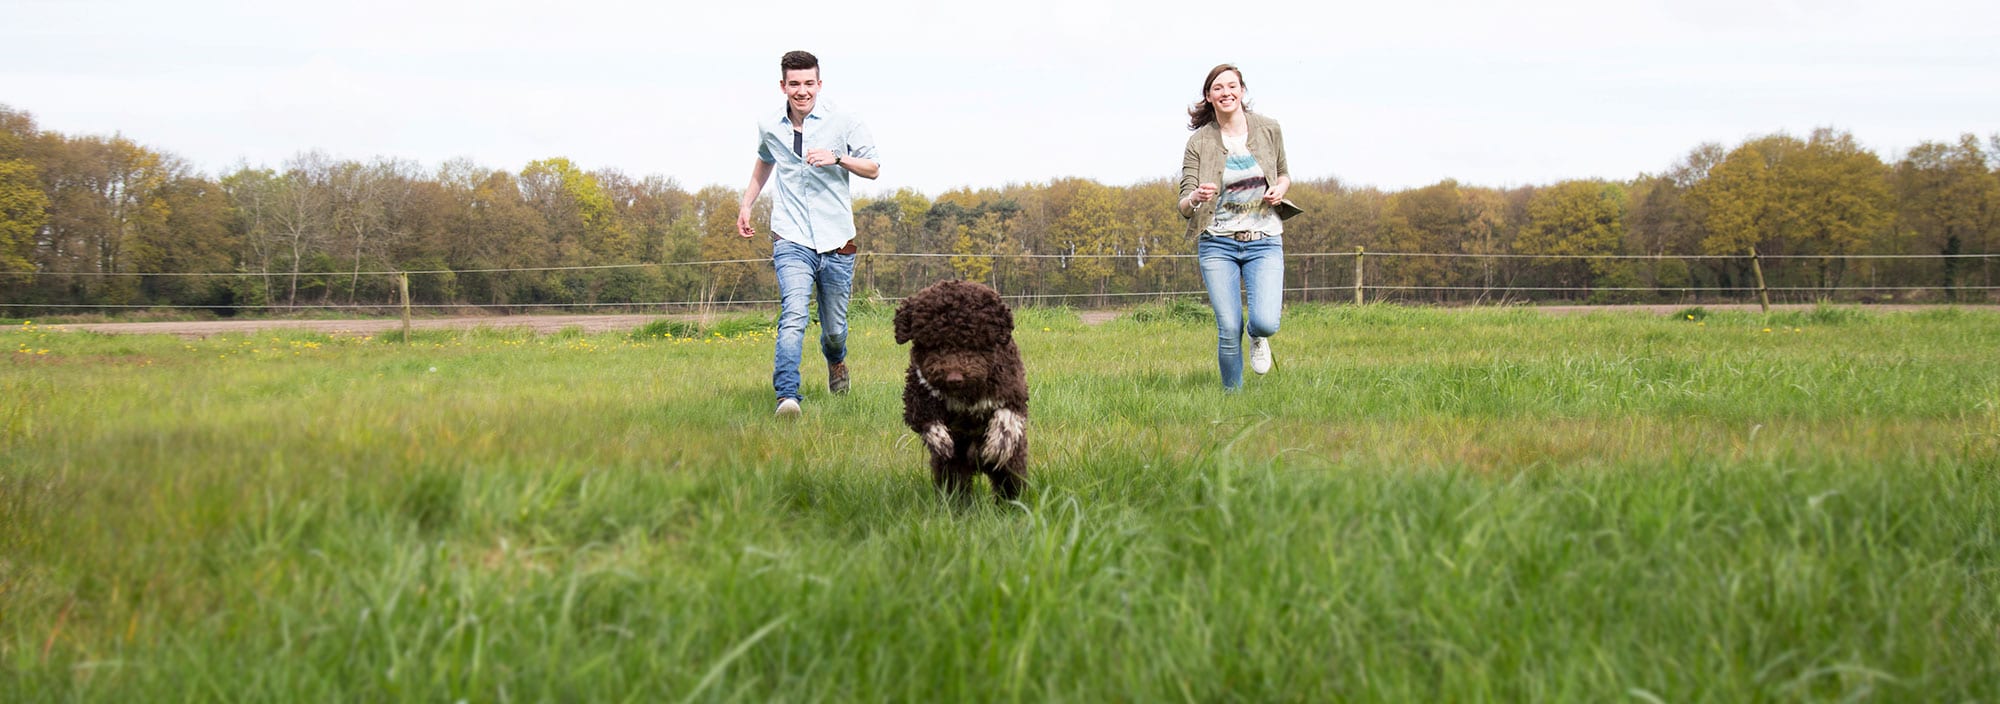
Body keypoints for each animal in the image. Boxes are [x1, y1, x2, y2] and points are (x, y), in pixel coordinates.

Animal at [896, 278, 1032, 504]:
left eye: (973, 343)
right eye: (935, 345)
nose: (954, 379)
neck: (967, 393)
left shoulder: (1014, 390)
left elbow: (1006, 417)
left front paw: (997, 445)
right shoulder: (917, 390)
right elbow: (923, 416)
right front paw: (940, 440)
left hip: (1011, 467)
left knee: (1009, 485)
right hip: (953, 470)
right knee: (956, 487)